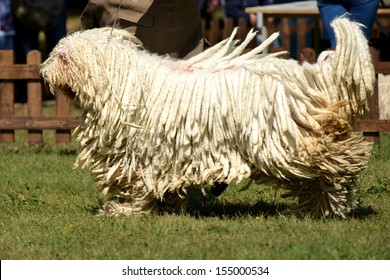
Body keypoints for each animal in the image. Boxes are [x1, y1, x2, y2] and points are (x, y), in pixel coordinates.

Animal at [39, 17, 374, 219]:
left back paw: (347, 170)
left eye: (62, 58)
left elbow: (140, 184)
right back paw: (320, 208)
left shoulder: (143, 152)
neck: (123, 80)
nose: (43, 73)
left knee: (334, 156)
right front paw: (167, 204)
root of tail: (311, 75)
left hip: (281, 144)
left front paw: (125, 209)